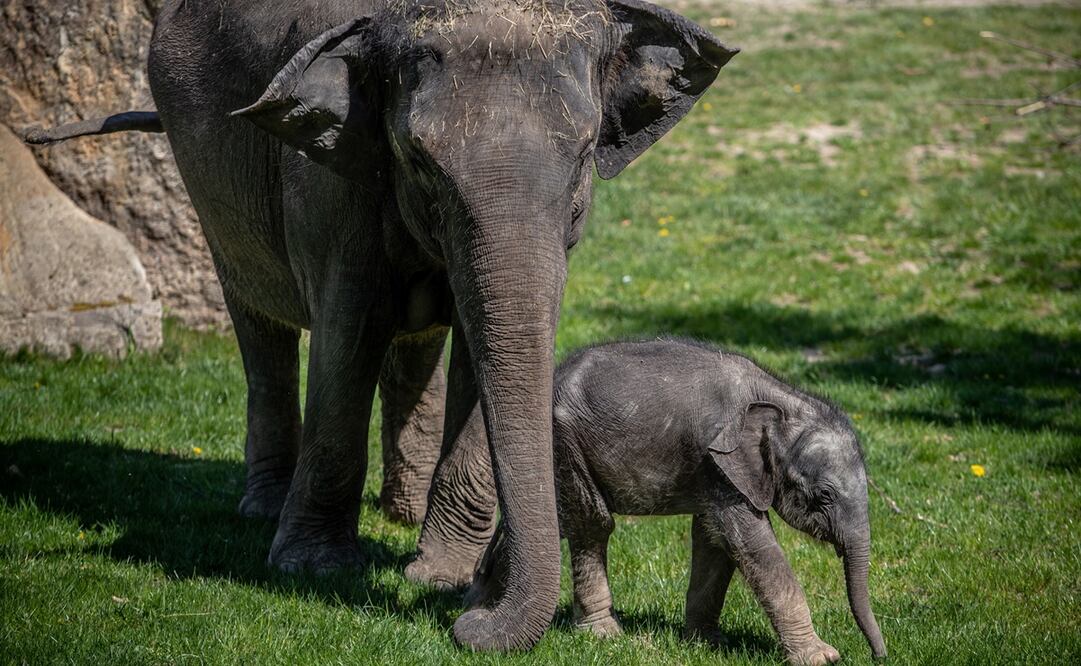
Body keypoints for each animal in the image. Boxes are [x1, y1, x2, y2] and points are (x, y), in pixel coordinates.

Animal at [25, 0, 737, 651]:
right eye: (417, 160)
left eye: (587, 155)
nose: (474, 617)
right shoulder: (332, 182)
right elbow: (348, 336)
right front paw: (314, 568)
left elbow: (484, 346)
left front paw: (436, 574)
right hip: (206, 182)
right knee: (259, 320)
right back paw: (263, 508)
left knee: (414, 343)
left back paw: (402, 513)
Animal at [465, 339, 887, 664]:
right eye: (824, 496)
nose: (878, 655)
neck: (779, 399)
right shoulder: (719, 461)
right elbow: (753, 544)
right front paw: (822, 658)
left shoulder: (714, 472)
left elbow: (714, 539)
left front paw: (706, 644)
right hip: (564, 442)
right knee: (591, 523)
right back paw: (601, 634)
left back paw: (479, 606)